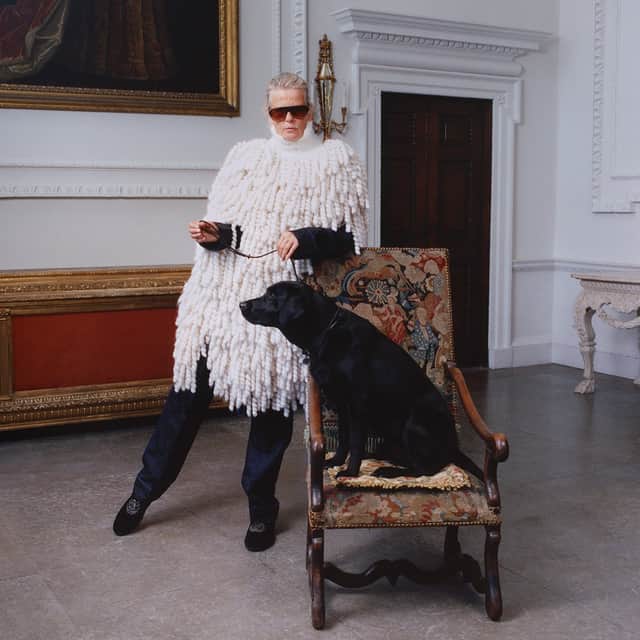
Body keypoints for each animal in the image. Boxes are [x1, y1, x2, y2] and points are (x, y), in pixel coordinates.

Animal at [239, 281, 482, 480]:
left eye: (272, 296)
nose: (242, 304)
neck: (325, 332)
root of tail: (454, 446)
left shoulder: (357, 403)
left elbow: (355, 441)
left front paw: (350, 472)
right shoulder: (340, 402)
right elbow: (344, 437)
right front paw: (336, 461)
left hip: (414, 425)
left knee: (426, 468)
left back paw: (387, 471)